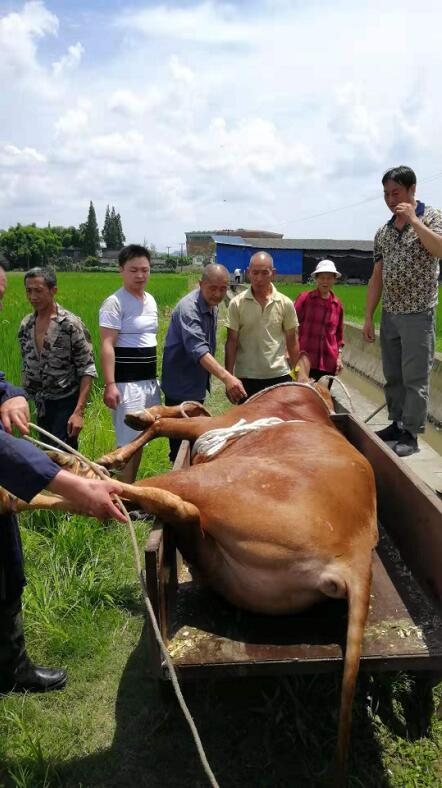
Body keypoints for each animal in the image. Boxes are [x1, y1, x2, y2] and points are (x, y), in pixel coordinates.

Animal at [0, 382, 378, 785]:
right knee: (180, 511)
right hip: (217, 560)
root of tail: (354, 555)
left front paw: (126, 438)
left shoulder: (215, 425)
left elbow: (167, 424)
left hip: (215, 481)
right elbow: (182, 411)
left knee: (141, 494)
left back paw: (44, 479)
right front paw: (141, 417)